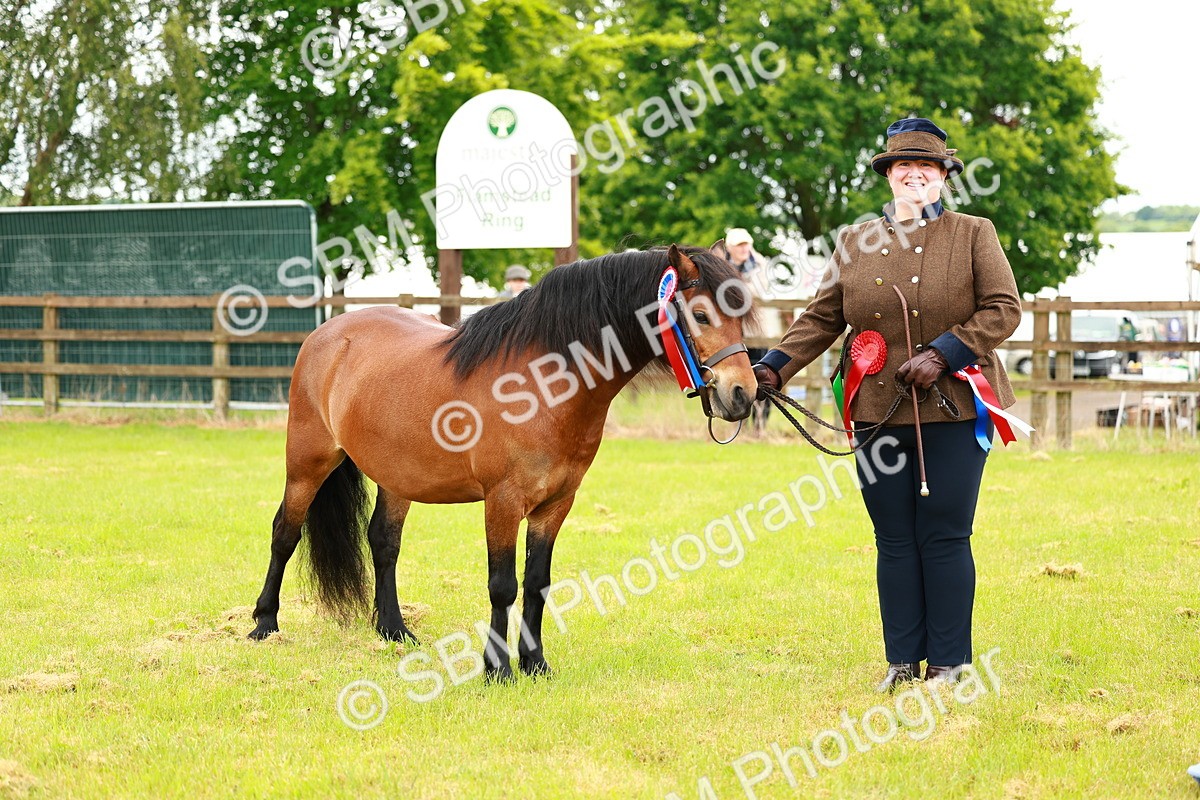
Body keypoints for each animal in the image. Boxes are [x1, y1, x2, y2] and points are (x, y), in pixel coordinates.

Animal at [247, 243, 758, 681]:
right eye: (700, 314)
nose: (743, 394)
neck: (541, 385)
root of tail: (328, 332)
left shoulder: (556, 503)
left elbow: (536, 583)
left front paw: (534, 663)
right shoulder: (503, 501)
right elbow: (503, 585)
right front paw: (498, 669)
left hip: (398, 476)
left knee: (384, 542)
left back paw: (394, 630)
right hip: (308, 462)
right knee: (285, 532)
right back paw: (264, 624)